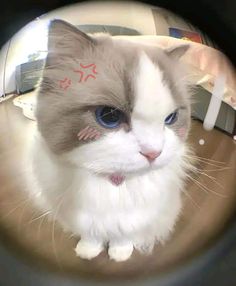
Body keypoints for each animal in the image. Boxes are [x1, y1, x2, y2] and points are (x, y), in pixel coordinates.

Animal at [30, 19, 194, 262]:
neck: (115, 183)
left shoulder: (136, 216)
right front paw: (88, 250)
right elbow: (91, 234)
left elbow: (124, 235)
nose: (153, 153)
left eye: (170, 118)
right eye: (109, 116)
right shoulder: (84, 216)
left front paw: (120, 253)